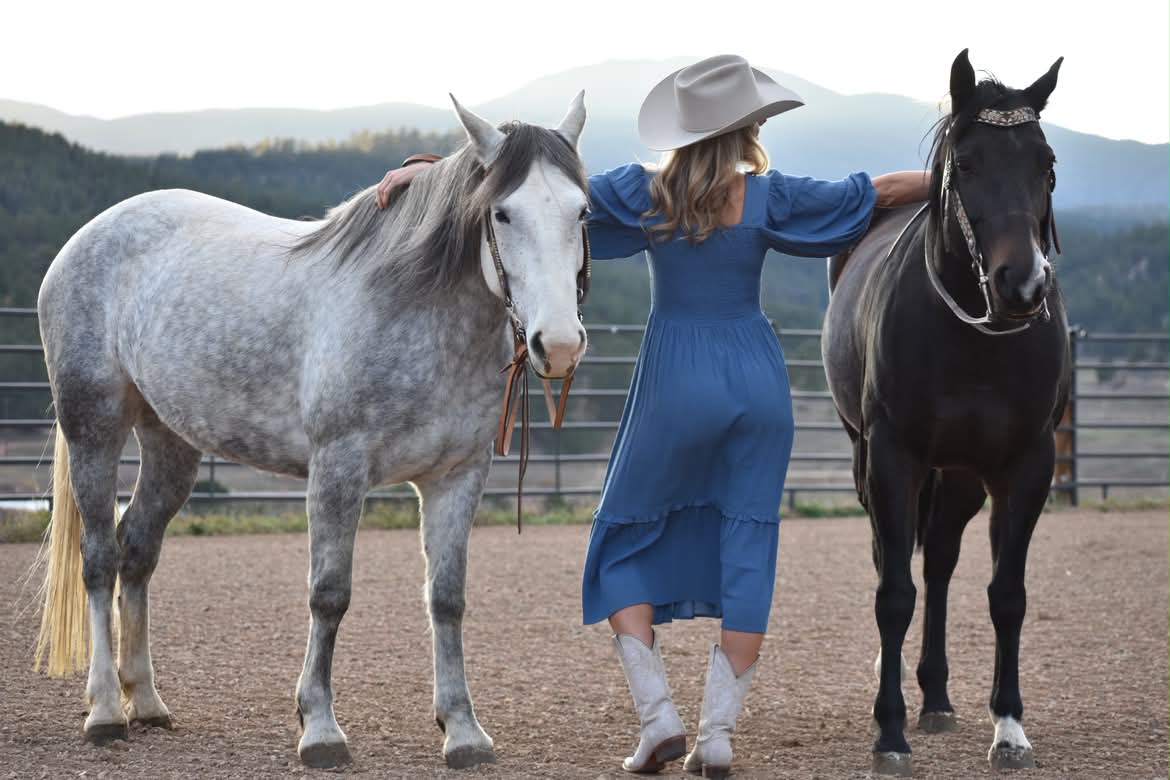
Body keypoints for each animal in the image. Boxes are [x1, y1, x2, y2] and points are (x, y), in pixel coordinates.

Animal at [33, 92, 591, 770]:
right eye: (503, 214)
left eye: (583, 210)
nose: (557, 346)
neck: (412, 309)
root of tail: (86, 238)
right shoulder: (338, 468)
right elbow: (329, 594)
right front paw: (320, 727)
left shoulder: (457, 477)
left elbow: (447, 598)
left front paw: (462, 729)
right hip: (94, 427)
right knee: (99, 559)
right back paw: (107, 711)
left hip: (171, 443)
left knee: (137, 551)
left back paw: (148, 702)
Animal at [821, 50, 1070, 775]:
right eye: (968, 162)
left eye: (1046, 163)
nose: (1024, 285)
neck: (976, 338)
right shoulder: (893, 460)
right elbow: (893, 594)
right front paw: (889, 733)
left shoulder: (1027, 466)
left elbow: (1006, 596)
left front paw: (1009, 727)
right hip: (876, 463)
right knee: (897, 562)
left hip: (960, 475)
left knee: (938, 560)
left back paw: (935, 696)